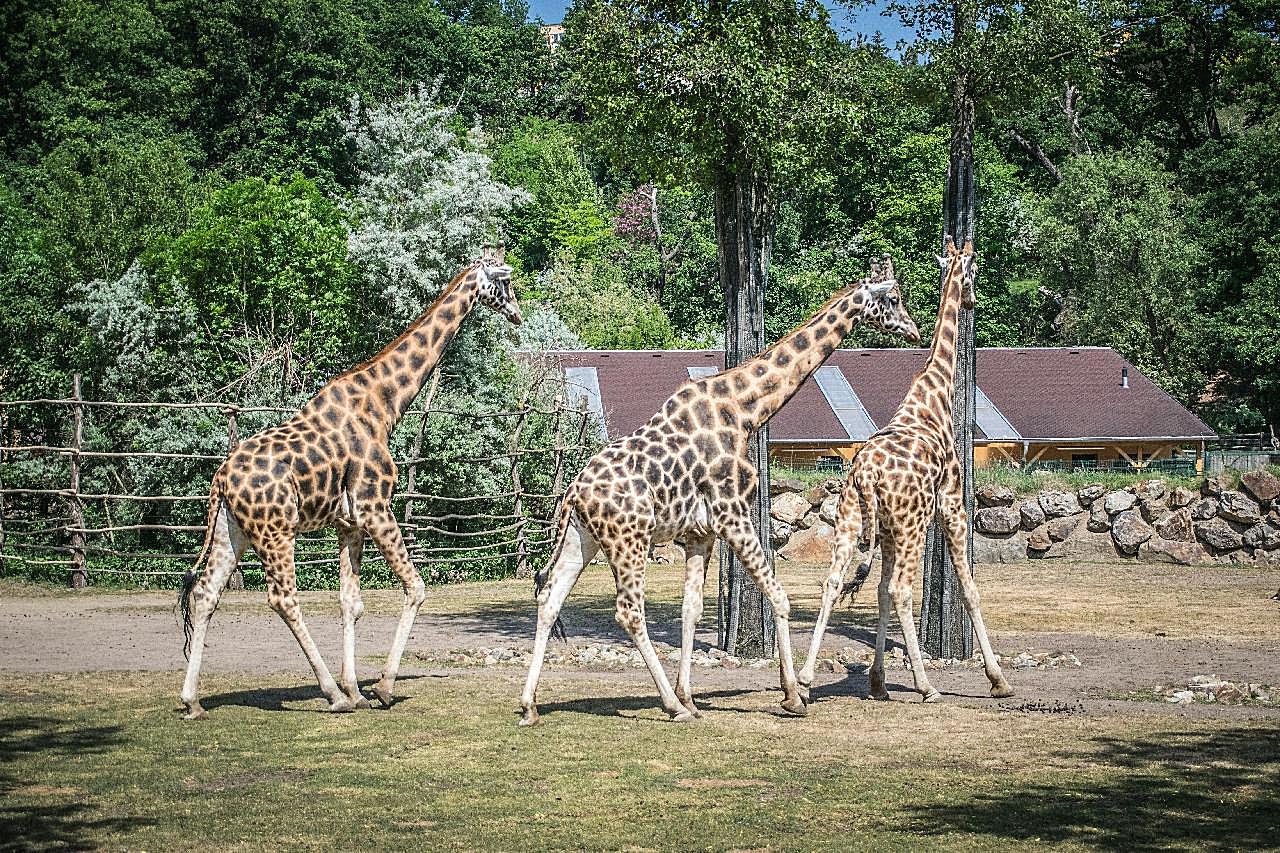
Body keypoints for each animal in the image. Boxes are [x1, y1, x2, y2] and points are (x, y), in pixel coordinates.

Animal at [177, 245, 522, 717]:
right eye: (505, 280)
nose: (517, 314)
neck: (385, 403)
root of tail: (221, 479)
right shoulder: (377, 507)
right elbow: (416, 588)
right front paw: (381, 688)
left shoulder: (349, 523)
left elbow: (350, 603)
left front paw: (358, 687)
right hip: (275, 530)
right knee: (282, 598)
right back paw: (332, 695)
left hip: (233, 531)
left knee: (206, 593)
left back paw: (192, 700)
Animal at [517, 256, 921, 722]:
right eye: (894, 298)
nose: (914, 330)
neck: (745, 410)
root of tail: (574, 493)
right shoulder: (733, 513)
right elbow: (778, 596)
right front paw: (792, 696)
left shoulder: (700, 533)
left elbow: (692, 610)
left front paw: (692, 694)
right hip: (628, 539)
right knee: (628, 611)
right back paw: (671, 706)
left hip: (582, 537)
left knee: (550, 598)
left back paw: (529, 705)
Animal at [793, 235, 1013, 701]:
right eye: (974, 270)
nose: (973, 298)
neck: (934, 394)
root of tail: (865, 475)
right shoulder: (951, 505)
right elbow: (968, 587)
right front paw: (998, 679)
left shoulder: (889, 531)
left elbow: (876, 592)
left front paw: (876, 679)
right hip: (913, 525)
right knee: (902, 588)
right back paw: (927, 685)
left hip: (852, 519)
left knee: (834, 582)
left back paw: (804, 679)